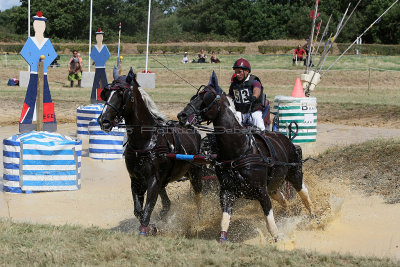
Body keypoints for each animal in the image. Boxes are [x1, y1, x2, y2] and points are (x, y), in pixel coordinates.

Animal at [97, 69, 203, 237]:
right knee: (167, 203)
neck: (146, 140)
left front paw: (148, 228)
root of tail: (192, 128)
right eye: (106, 93)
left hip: (195, 173)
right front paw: (153, 226)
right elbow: (138, 211)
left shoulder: (153, 180)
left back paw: (199, 220)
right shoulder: (137, 180)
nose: (103, 121)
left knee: (198, 197)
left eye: (121, 93)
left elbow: (147, 211)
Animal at [177, 71, 314, 243]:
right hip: (274, 185)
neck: (239, 150)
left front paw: (278, 240)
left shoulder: (261, 192)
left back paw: (315, 218)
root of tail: (286, 137)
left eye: (206, 97)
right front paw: (221, 239)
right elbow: (224, 221)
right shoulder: (227, 192)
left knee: (305, 195)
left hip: (295, 174)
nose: (181, 115)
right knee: (283, 199)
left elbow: (270, 222)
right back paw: (288, 212)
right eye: (193, 97)